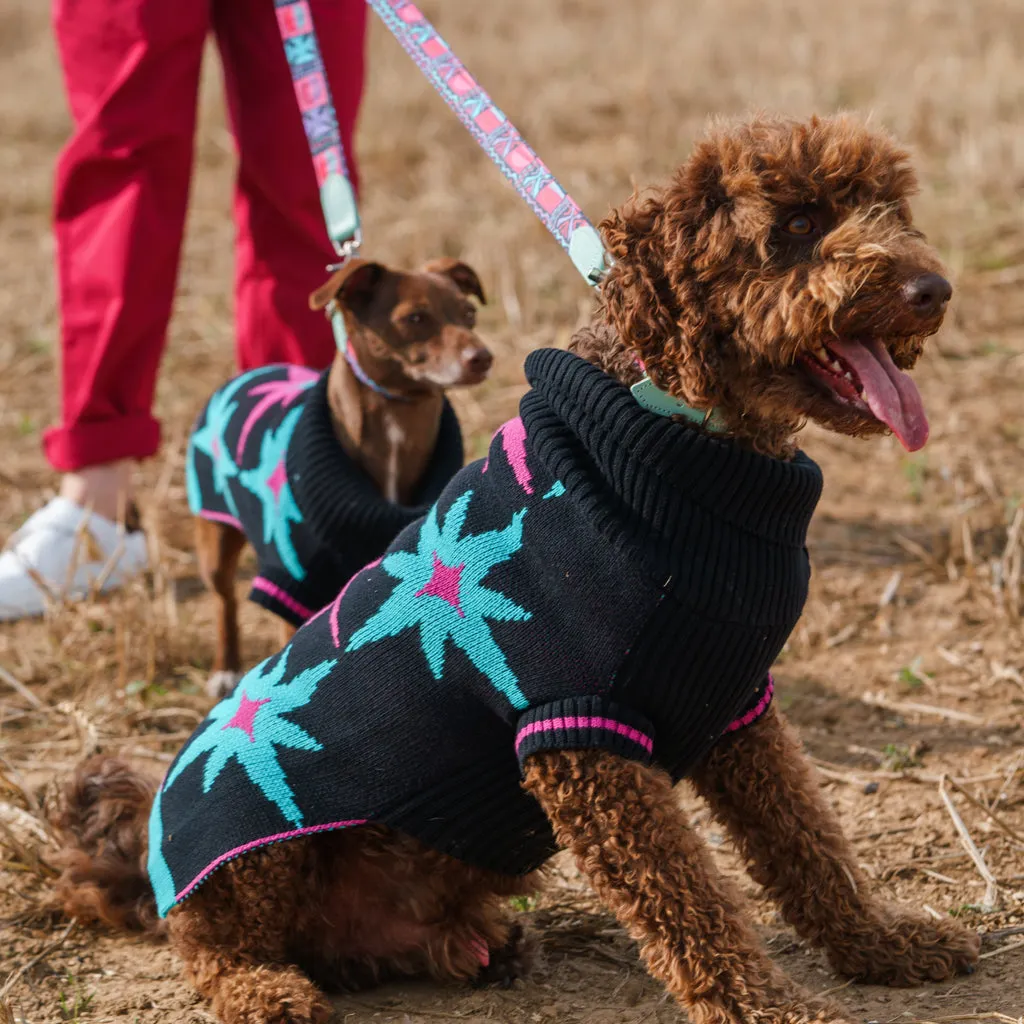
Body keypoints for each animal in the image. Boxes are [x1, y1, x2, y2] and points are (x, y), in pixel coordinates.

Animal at [54, 114, 974, 1024]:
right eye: (799, 224)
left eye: (889, 208)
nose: (934, 290)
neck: (674, 429)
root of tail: (150, 864)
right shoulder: (580, 737)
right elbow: (691, 903)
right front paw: (770, 1006)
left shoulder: (734, 702)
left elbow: (808, 845)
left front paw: (881, 943)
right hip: (255, 846)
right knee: (214, 948)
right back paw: (267, 990)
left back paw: (473, 946)